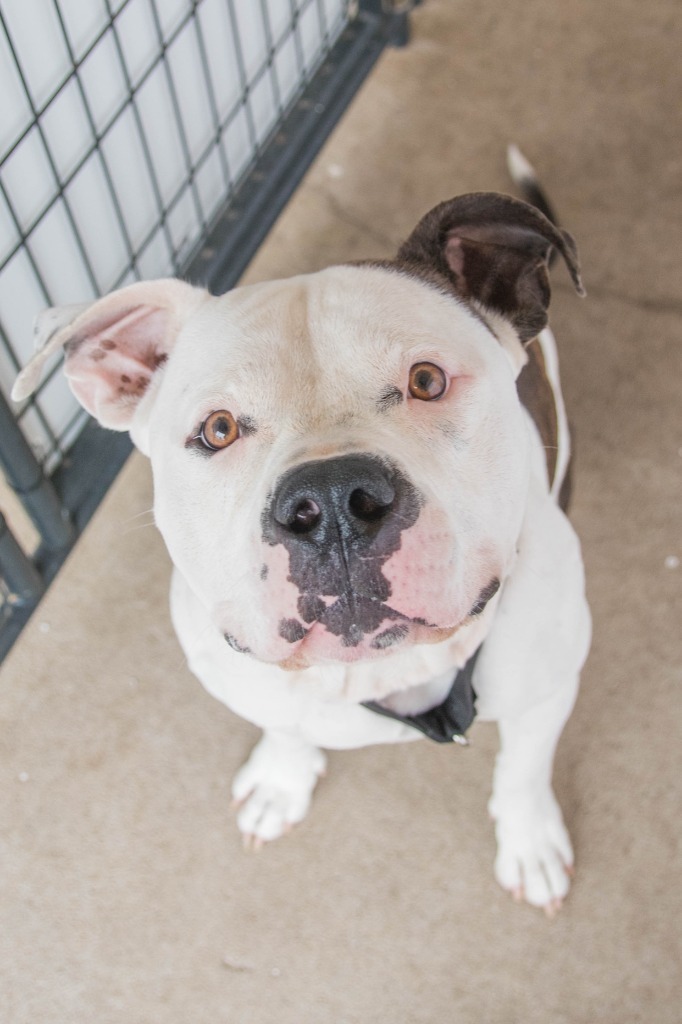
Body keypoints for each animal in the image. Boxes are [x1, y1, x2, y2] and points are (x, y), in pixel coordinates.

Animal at [13, 157, 585, 913]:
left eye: (426, 380)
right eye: (217, 429)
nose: (333, 501)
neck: (377, 671)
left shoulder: (549, 688)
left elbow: (523, 769)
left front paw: (530, 844)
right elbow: (282, 725)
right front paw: (280, 782)